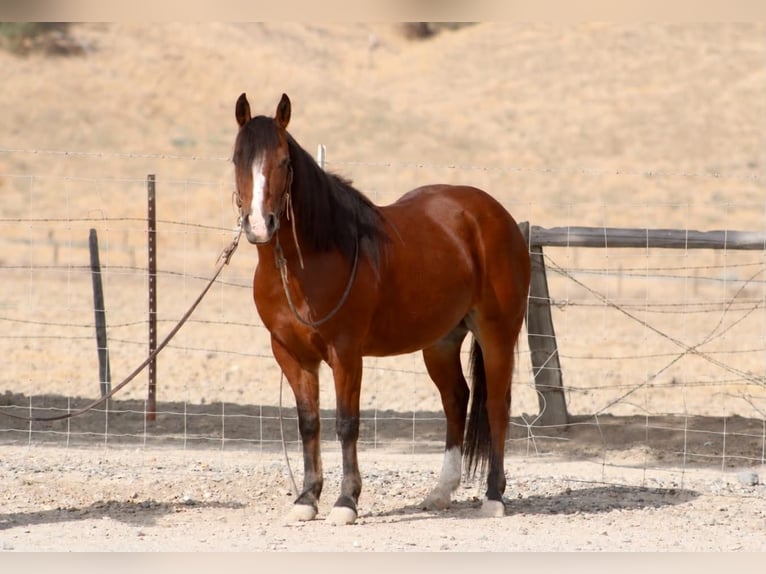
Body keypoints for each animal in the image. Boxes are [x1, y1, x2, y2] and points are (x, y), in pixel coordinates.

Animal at [232, 92, 531, 525]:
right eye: (237, 159)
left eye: (285, 161)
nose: (259, 225)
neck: (309, 262)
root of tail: (497, 216)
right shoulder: (290, 354)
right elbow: (309, 424)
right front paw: (307, 499)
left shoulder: (345, 353)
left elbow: (346, 424)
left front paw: (345, 502)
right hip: (441, 341)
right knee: (456, 400)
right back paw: (441, 492)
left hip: (497, 334)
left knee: (495, 405)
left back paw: (493, 497)